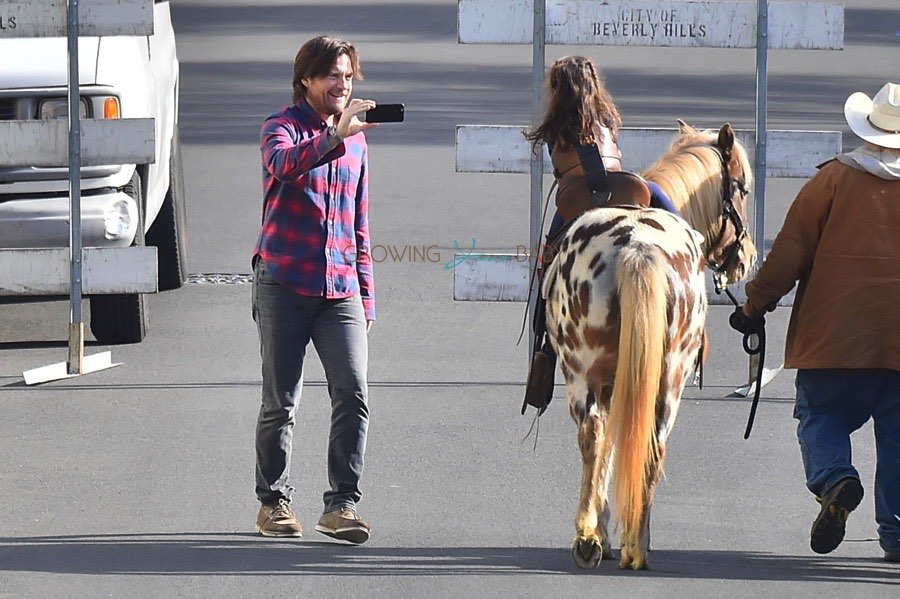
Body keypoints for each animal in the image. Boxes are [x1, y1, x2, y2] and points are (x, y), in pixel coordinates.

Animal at [540, 122, 760, 572]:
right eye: (743, 189)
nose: (746, 258)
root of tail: (637, 246)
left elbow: (607, 449)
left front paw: (603, 531)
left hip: (589, 375)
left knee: (599, 437)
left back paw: (594, 539)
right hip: (664, 378)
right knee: (645, 447)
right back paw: (631, 543)